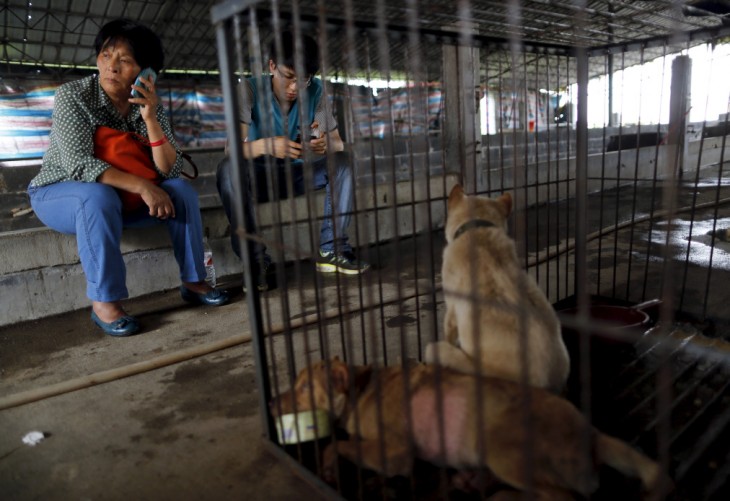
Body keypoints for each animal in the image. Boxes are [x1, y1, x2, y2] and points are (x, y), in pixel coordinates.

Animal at [270, 358, 668, 498]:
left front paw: (328, 466)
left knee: (561, 498)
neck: (363, 388)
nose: (272, 403)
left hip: (503, 451)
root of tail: (594, 437)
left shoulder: (397, 453)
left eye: (304, 388)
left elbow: (336, 444)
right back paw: (472, 480)